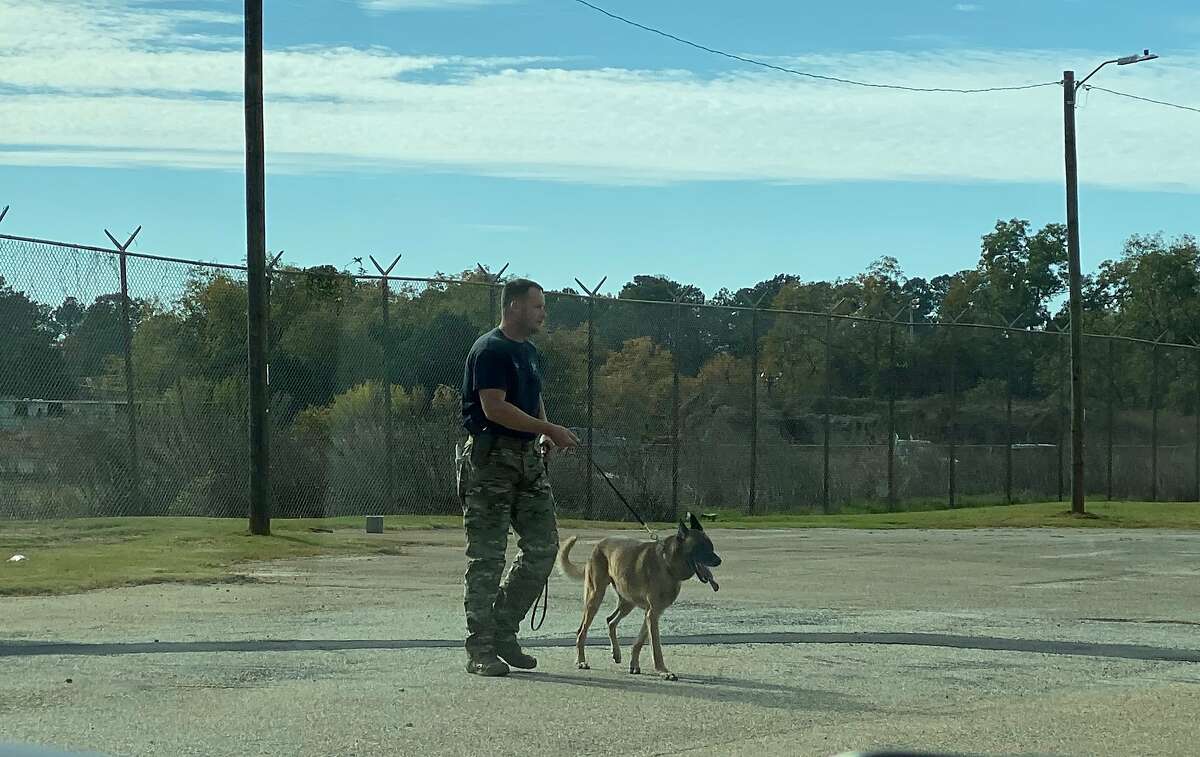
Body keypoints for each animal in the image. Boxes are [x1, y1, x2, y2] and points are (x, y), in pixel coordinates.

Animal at [554, 515, 715, 681]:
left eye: (711, 546)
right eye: (701, 548)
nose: (719, 560)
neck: (667, 563)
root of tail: (598, 544)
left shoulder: (653, 613)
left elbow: (638, 642)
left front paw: (634, 664)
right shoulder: (652, 614)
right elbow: (656, 647)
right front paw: (663, 671)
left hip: (627, 603)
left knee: (610, 621)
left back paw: (616, 653)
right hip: (595, 597)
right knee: (582, 631)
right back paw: (581, 661)